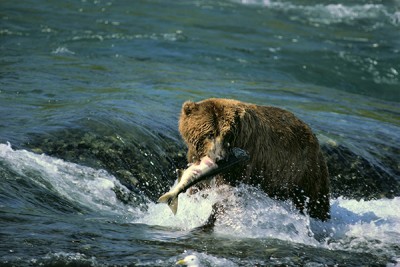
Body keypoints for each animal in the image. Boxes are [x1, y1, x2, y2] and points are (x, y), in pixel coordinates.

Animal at [179, 98, 332, 222]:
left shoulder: (244, 158)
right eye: (210, 134)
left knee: (316, 201)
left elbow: (228, 190)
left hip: (304, 172)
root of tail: (312, 134)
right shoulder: (195, 157)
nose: (220, 158)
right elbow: (198, 188)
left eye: (227, 135)